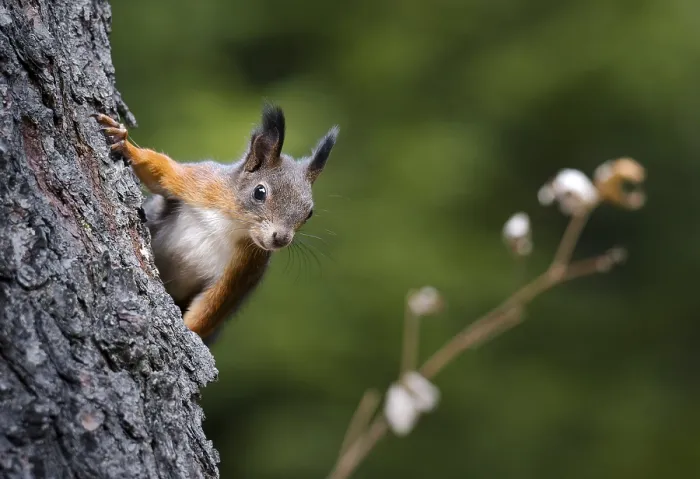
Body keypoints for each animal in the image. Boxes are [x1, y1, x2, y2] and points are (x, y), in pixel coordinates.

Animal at [93, 105, 338, 343]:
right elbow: (160, 173)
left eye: (309, 213)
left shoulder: (243, 269)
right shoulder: (201, 183)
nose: (281, 239)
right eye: (260, 192)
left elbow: (210, 308)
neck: (231, 222)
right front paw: (124, 143)